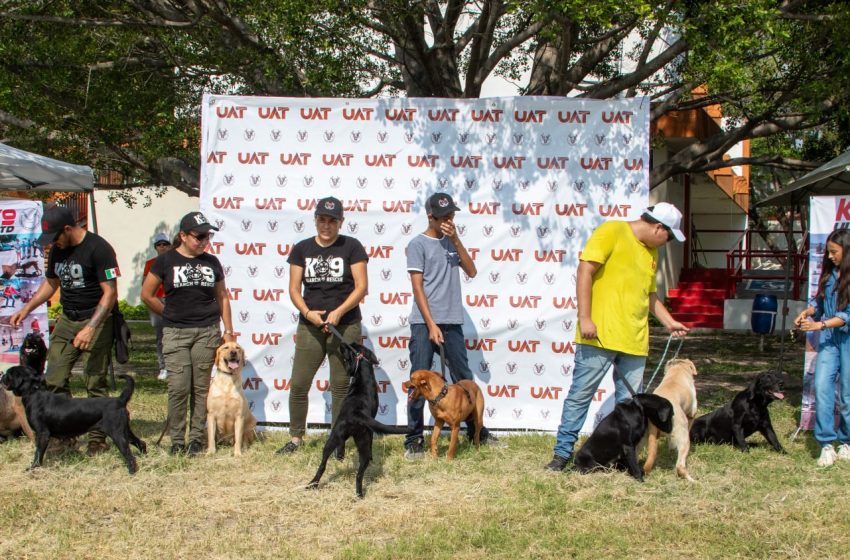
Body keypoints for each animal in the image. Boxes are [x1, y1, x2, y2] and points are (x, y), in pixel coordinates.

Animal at [0, 364, 147, 472]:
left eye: (8, 373)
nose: (2, 376)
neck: (33, 393)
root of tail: (119, 400)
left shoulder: (42, 433)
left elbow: (38, 453)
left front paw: (33, 468)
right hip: (125, 430)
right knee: (141, 443)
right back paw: (145, 457)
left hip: (117, 433)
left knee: (129, 455)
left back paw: (132, 471)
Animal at [308, 342, 408, 498]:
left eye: (349, 347)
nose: (342, 343)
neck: (363, 375)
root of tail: (356, 414)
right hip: (362, 442)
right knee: (359, 473)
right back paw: (359, 493)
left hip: (333, 438)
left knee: (323, 465)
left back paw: (313, 483)